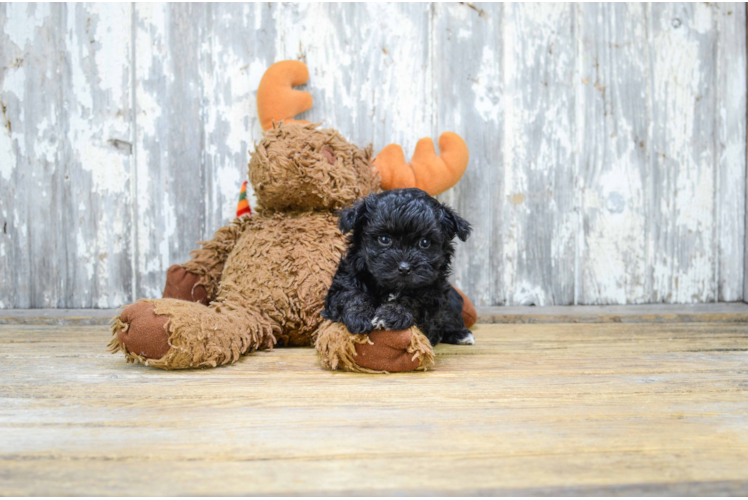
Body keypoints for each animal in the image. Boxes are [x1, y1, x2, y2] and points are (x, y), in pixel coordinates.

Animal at [322, 186, 474, 346]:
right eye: (384, 239)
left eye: (425, 242)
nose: (404, 268)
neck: (393, 287)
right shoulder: (346, 278)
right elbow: (350, 293)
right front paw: (359, 314)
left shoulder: (434, 296)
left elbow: (414, 302)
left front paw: (392, 314)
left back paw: (461, 335)